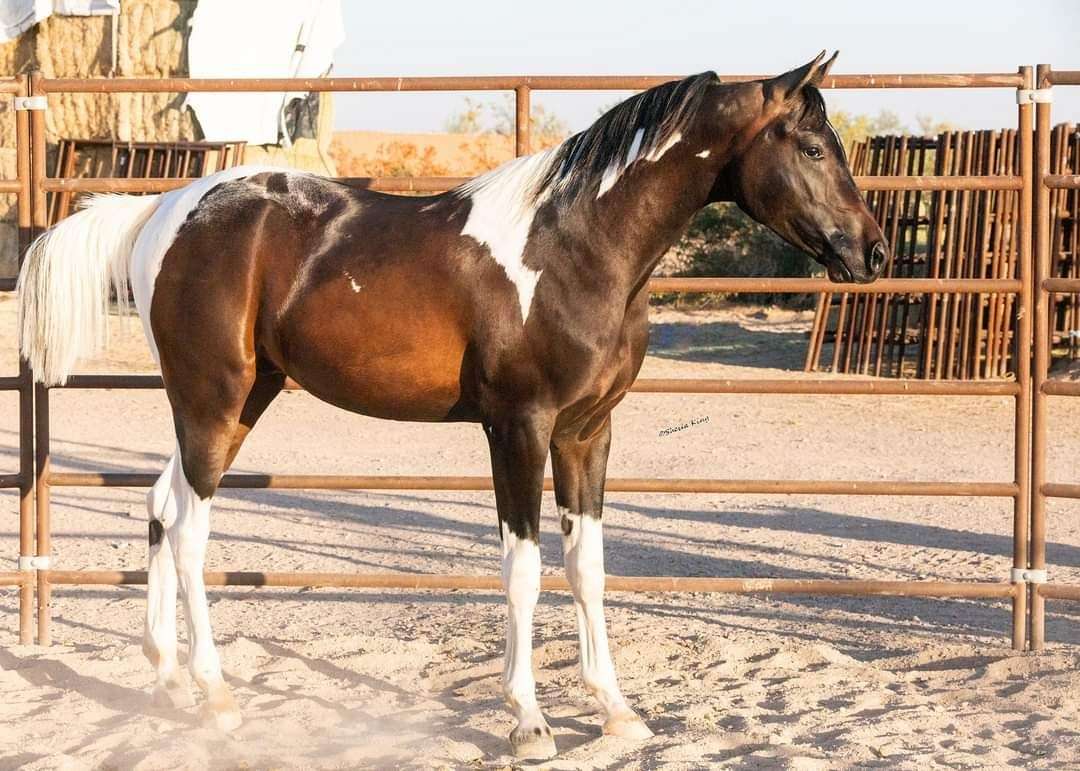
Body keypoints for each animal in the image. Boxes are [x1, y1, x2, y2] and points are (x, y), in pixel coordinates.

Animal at [21, 52, 885, 755]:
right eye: (812, 148)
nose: (872, 251)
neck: (577, 247)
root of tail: (163, 211)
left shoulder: (587, 433)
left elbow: (588, 567)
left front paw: (616, 710)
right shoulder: (518, 427)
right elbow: (523, 569)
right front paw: (529, 720)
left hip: (234, 403)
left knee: (161, 504)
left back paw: (169, 680)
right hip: (214, 398)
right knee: (191, 527)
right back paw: (217, 695)